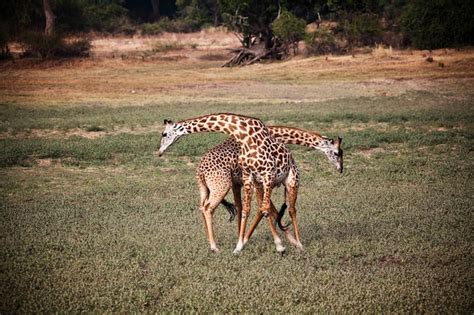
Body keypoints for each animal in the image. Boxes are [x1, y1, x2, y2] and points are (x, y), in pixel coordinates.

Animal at [194, 127, 342, 253]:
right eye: (337, 152)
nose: (341, 168)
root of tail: (200, 170)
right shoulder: (257, 183)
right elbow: (264, 210)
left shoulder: (239, 184)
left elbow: (248, 209)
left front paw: (241, 240)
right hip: (221, 187)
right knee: (208, 208)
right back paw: (214, 246)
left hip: (205, 188)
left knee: (202, 207)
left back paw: (210, 242)